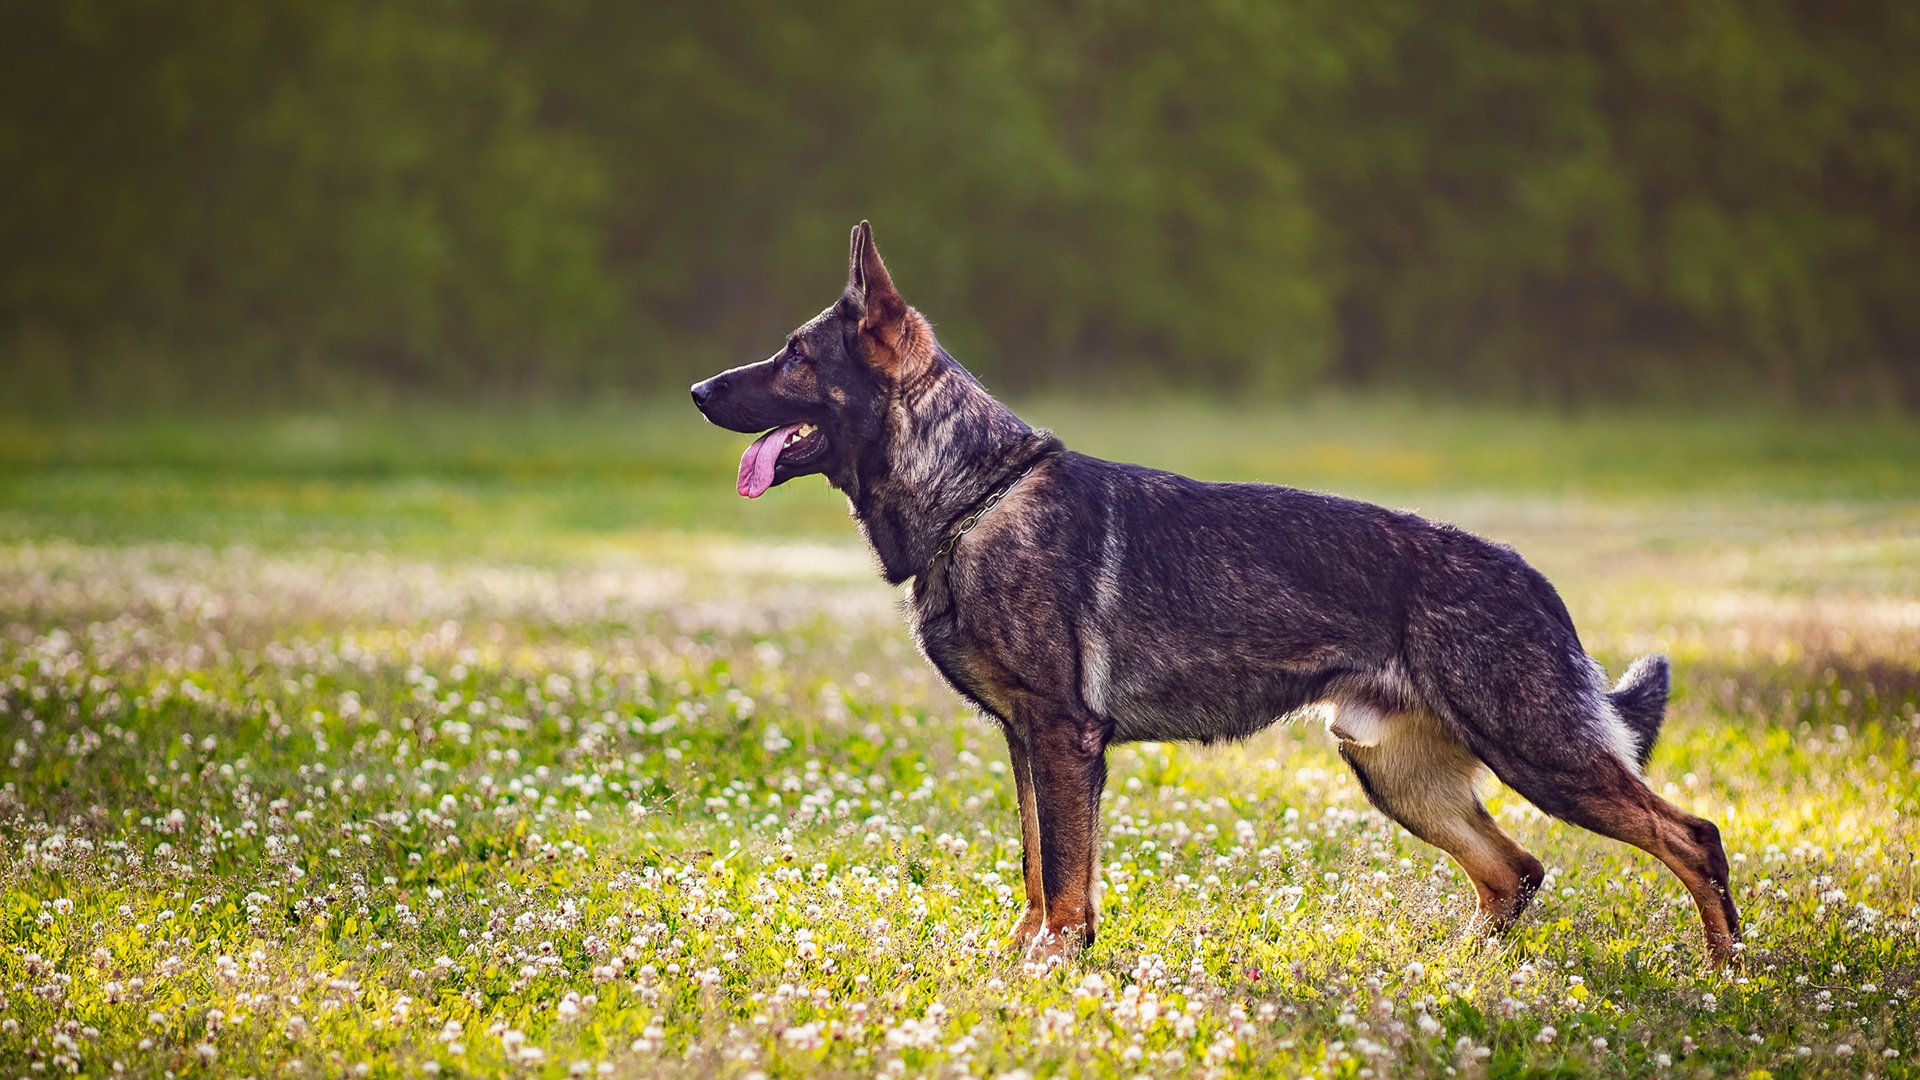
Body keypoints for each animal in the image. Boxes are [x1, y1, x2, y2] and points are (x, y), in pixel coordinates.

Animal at [691, 222, 1743, 960]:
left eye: (795, 356)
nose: (698, 390)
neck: (972, 493)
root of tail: (1531, 577)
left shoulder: (1062, 738)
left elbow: (1062, 879)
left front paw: (1052, 970)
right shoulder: (1026, 742)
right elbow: (1037, 868)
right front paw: (1026, 961)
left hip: (1537, 754)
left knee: (1692, 836)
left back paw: (1727, 972)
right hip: (1397, 773)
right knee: (1516, 872)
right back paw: (1457, 969)